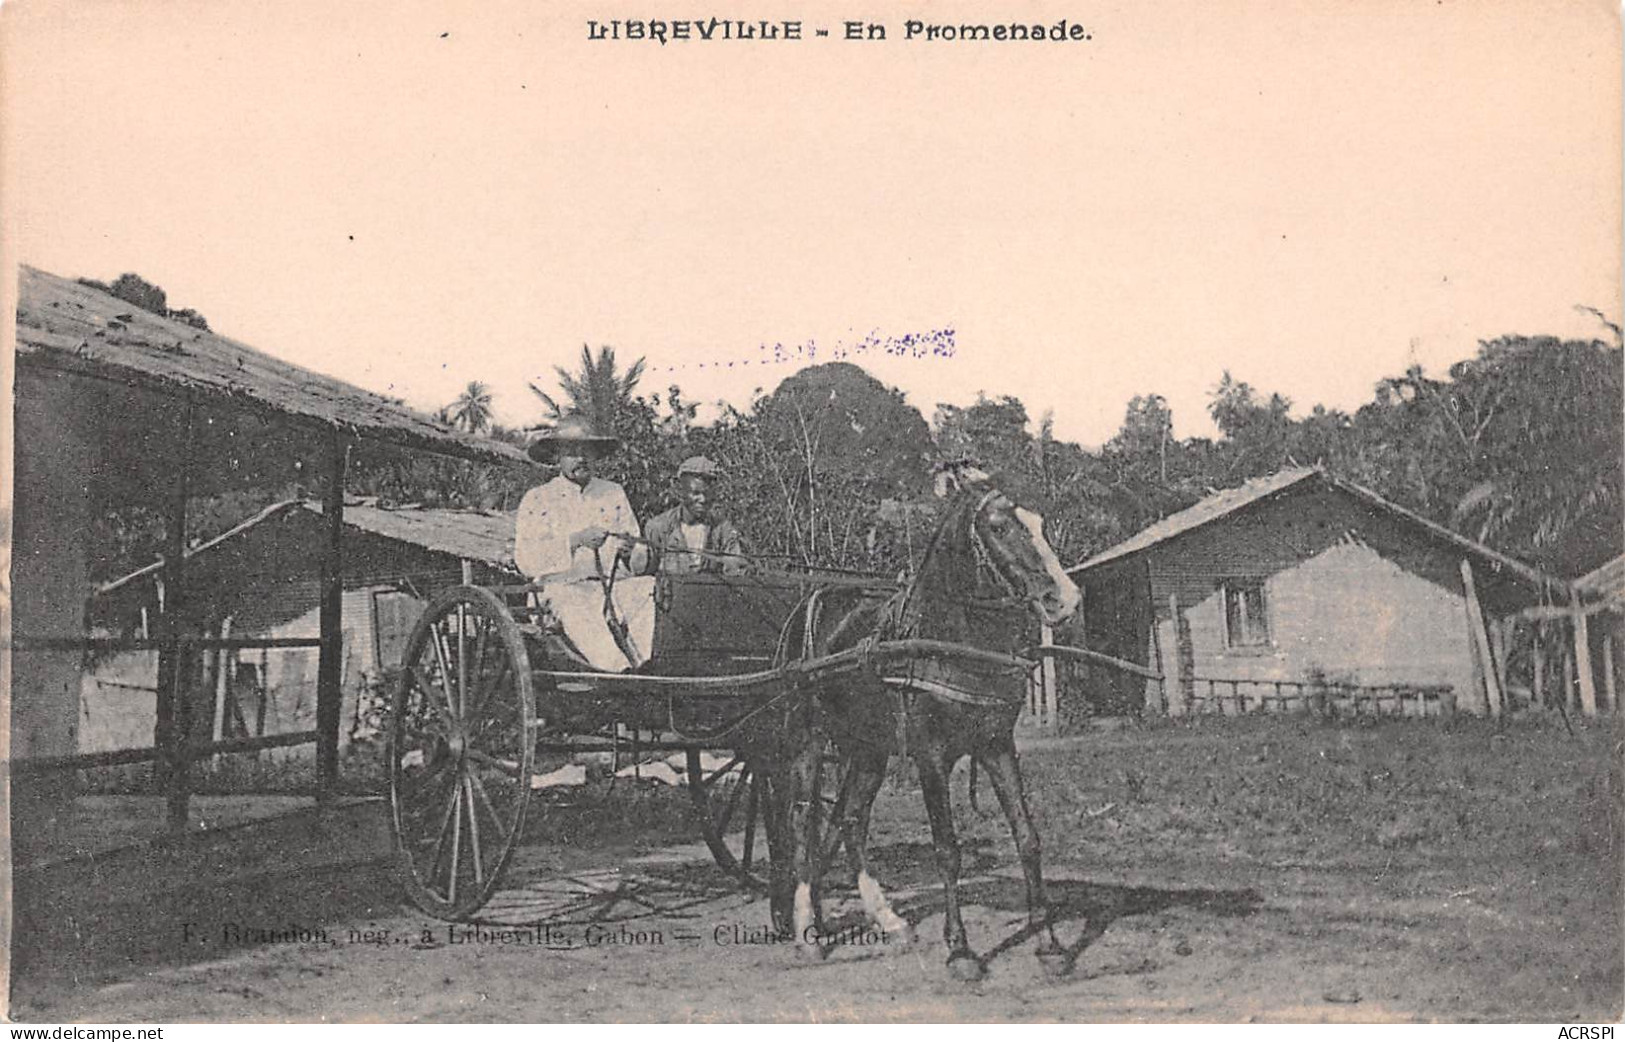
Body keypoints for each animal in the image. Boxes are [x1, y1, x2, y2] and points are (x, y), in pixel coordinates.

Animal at [780, 461, 1085, 975]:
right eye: (999, 527)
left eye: (1041, 523)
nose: (1065, 599)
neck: (949, 640)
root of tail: (809, 604)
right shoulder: (931, 757)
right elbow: (947, 850)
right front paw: (960, 951)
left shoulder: (996, 745)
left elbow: (1027, 836)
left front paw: (1049, 944)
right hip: (808, 740)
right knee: (803, 820)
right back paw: (807, 930)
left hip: (867, 749)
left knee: (849, 819)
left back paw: (886, 920)